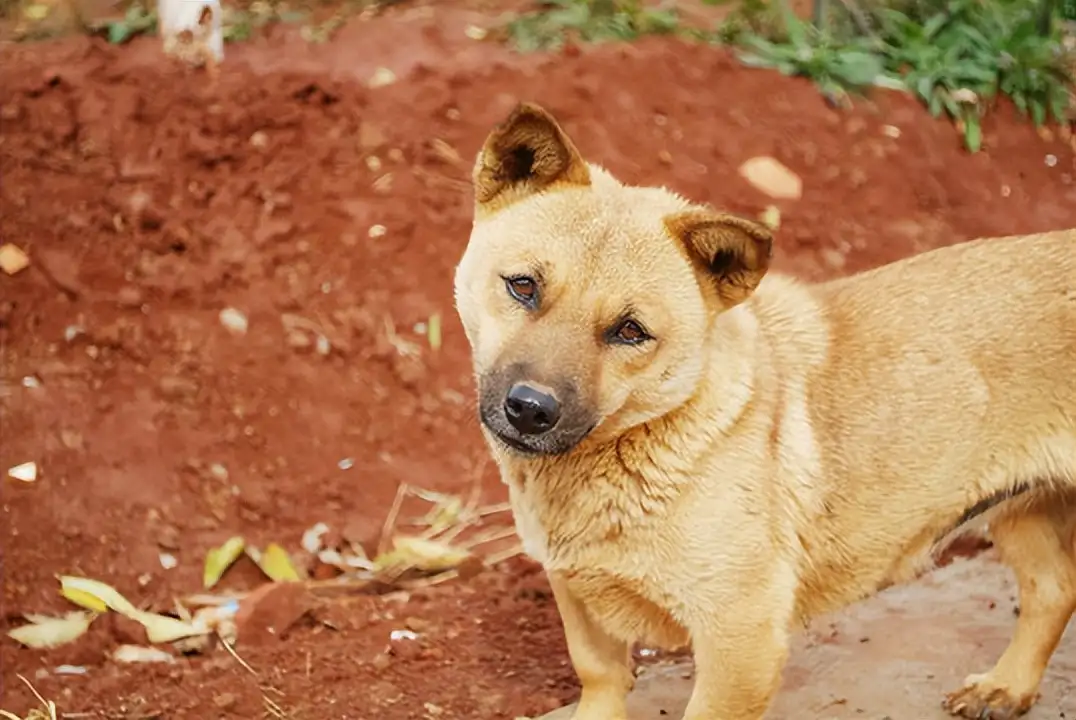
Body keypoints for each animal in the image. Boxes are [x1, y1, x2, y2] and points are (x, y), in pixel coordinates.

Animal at [454, 102, 1076, 718]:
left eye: (630, 331)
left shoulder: (740, 643)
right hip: (1020, 512)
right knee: (1054, 589)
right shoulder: (581, 602)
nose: (530, 410)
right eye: (523, 286)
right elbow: (599, 679)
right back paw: (1007, 687)